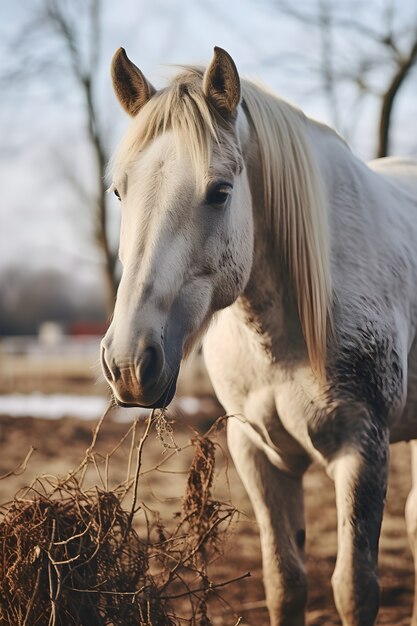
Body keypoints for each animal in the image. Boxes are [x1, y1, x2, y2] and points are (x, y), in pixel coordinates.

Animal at [101, 46, 416, 620]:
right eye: (119, 190)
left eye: (220, 192)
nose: (129, 364)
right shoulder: (257, 452)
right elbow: (284, 582)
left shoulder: (364, 448)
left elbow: (354, 588)